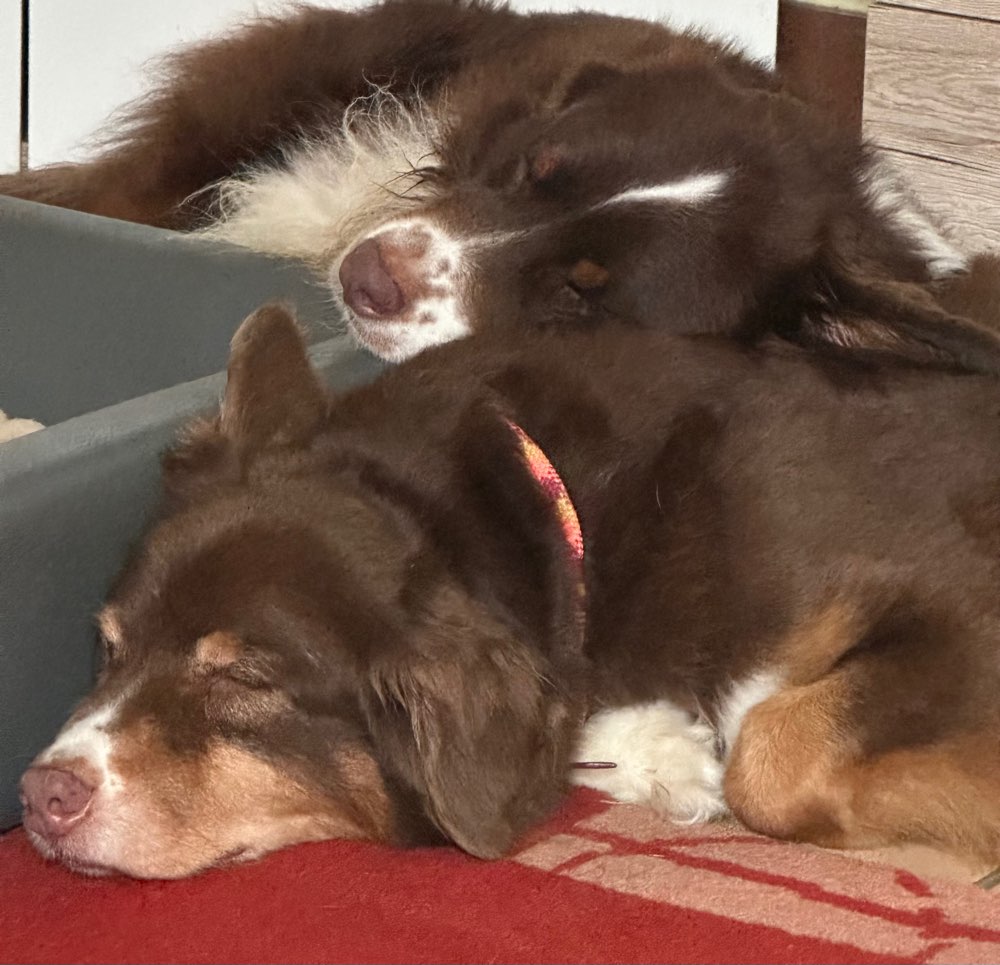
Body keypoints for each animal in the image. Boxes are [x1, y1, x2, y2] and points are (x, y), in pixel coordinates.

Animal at [19, 303, 1000, 878]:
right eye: (108, 648)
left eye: (243, 678)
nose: (39, 795)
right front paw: (660, 751)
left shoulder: (963, 611)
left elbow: (770, 749)